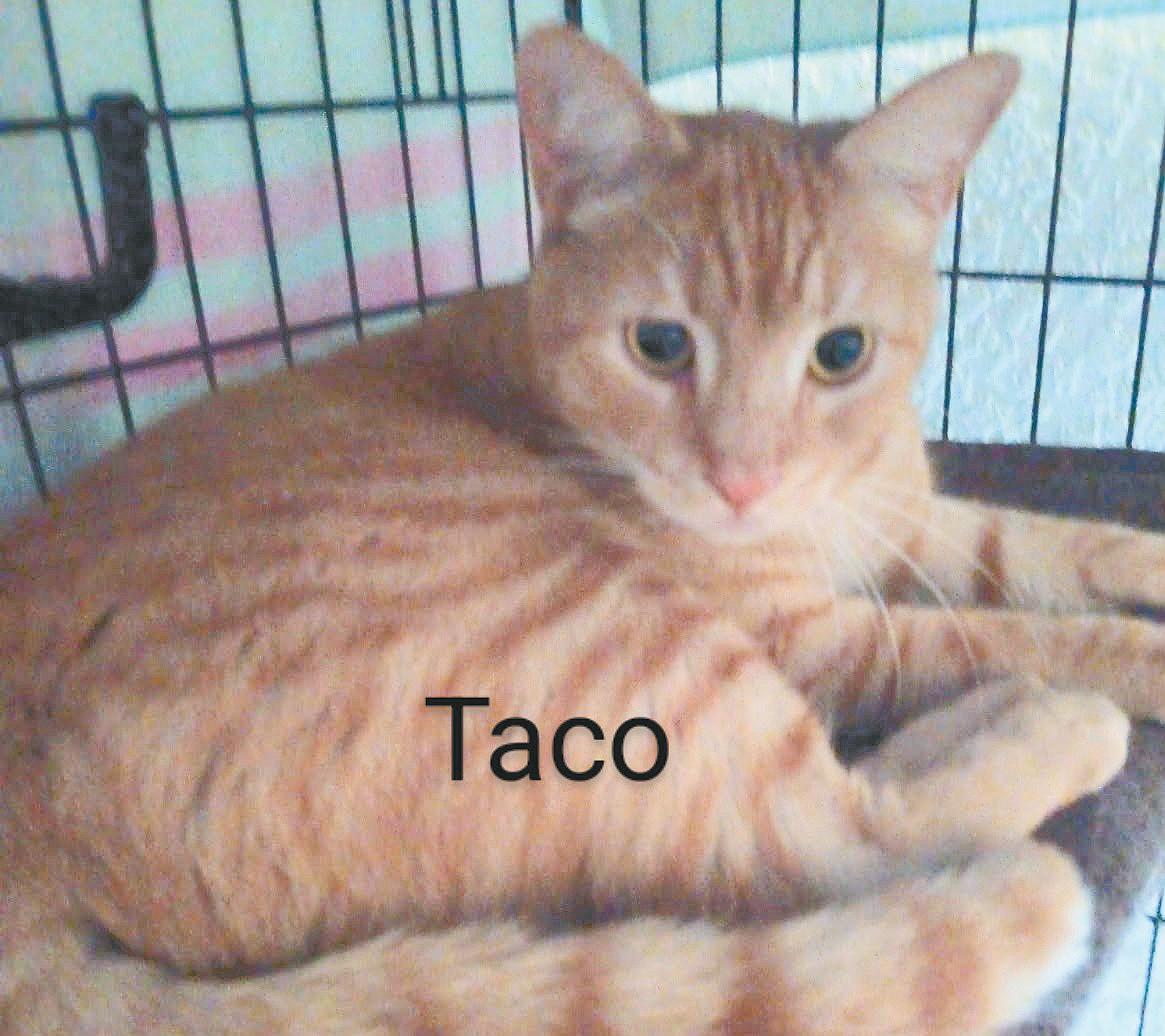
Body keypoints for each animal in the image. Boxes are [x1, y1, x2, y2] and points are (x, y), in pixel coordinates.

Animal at [3, 23, 1164, 1035]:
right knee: (835, 835)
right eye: (659, 345)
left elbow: (1047, 545)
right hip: (617, 647)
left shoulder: (908, 522)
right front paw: (1117, 662)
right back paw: (1046, 725)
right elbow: (1000, 631)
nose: (740, 481)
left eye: (840, 353)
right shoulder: (800, 630)